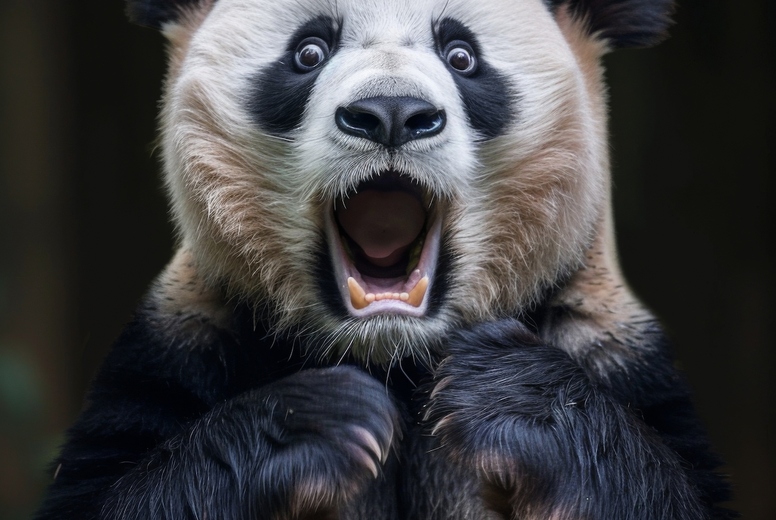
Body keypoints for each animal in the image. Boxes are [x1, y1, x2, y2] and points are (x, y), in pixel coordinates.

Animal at [36, 0, 733, 518]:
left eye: (461, 55)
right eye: (309, 52)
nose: (392, 112)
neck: (396, 356)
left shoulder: (612, 349)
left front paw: (507, 393)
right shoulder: (187, 337)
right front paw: (321, 419)